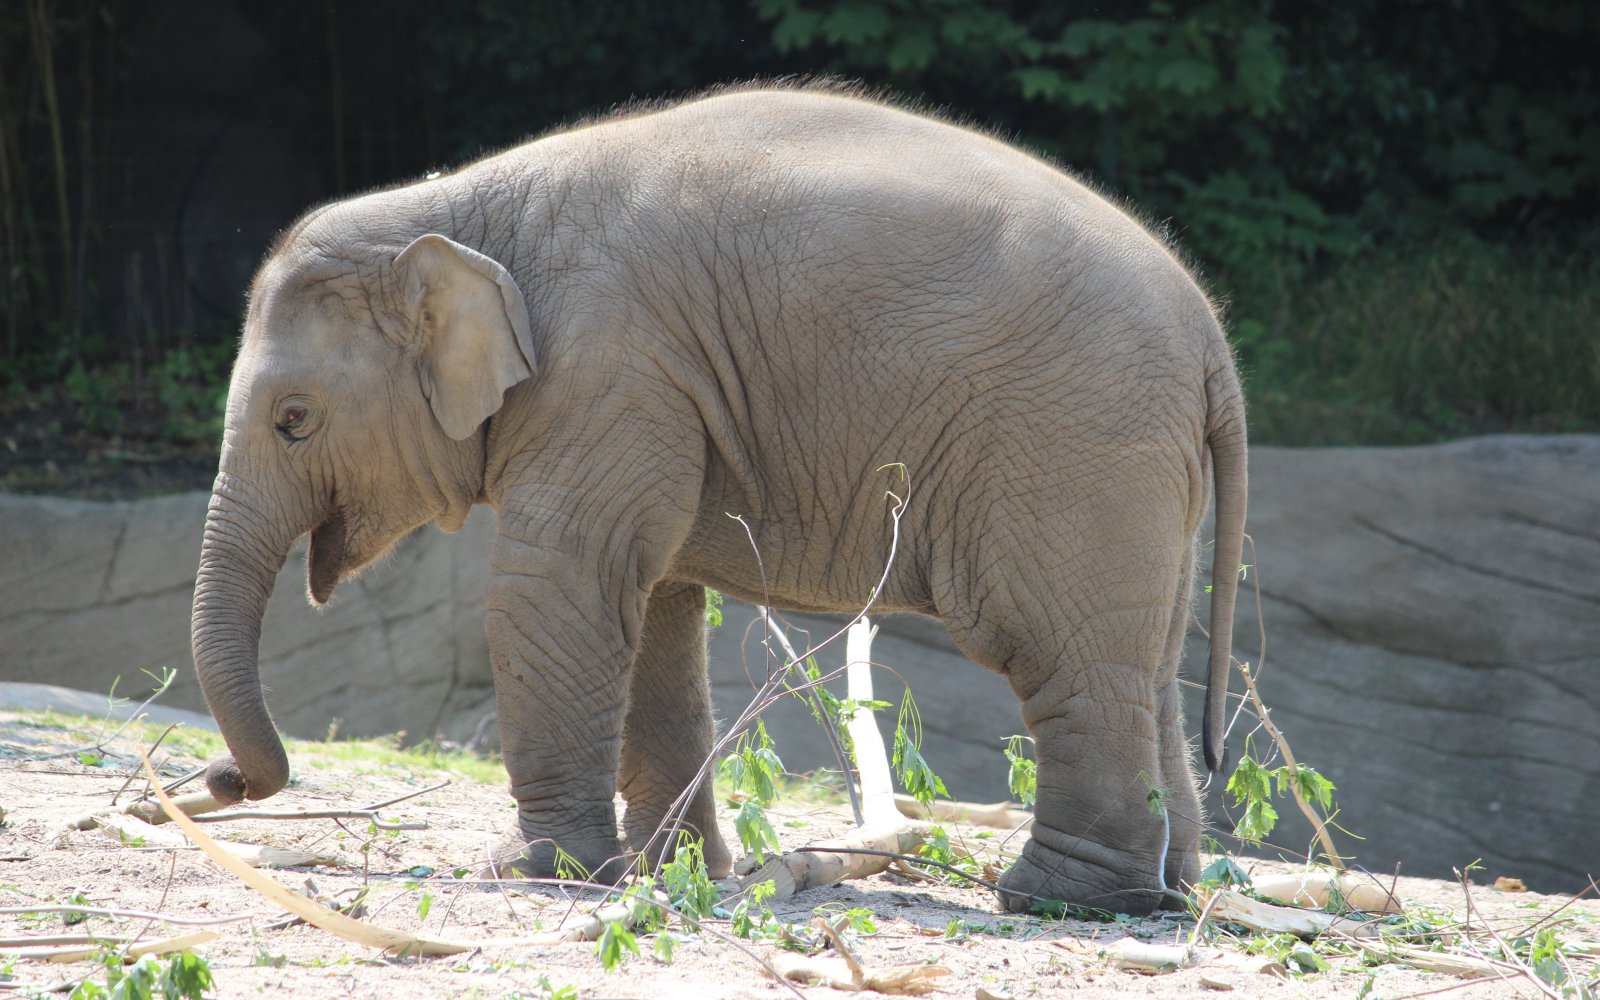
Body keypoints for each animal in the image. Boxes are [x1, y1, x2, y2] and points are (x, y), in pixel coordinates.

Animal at [193, 84, 1248, 915]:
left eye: (293, 419)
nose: (221, 780)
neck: (454, 208)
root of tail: (1212, 338)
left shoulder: (610, 369)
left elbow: (561, 587)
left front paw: (535, 871)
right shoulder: (650, 392)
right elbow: (654, 608)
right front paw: (675, 872)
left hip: (1074, 445)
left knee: (1060, 653)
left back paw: (1059, 899)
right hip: (1136, 466)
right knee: (1149, 663)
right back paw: (1170, 890)